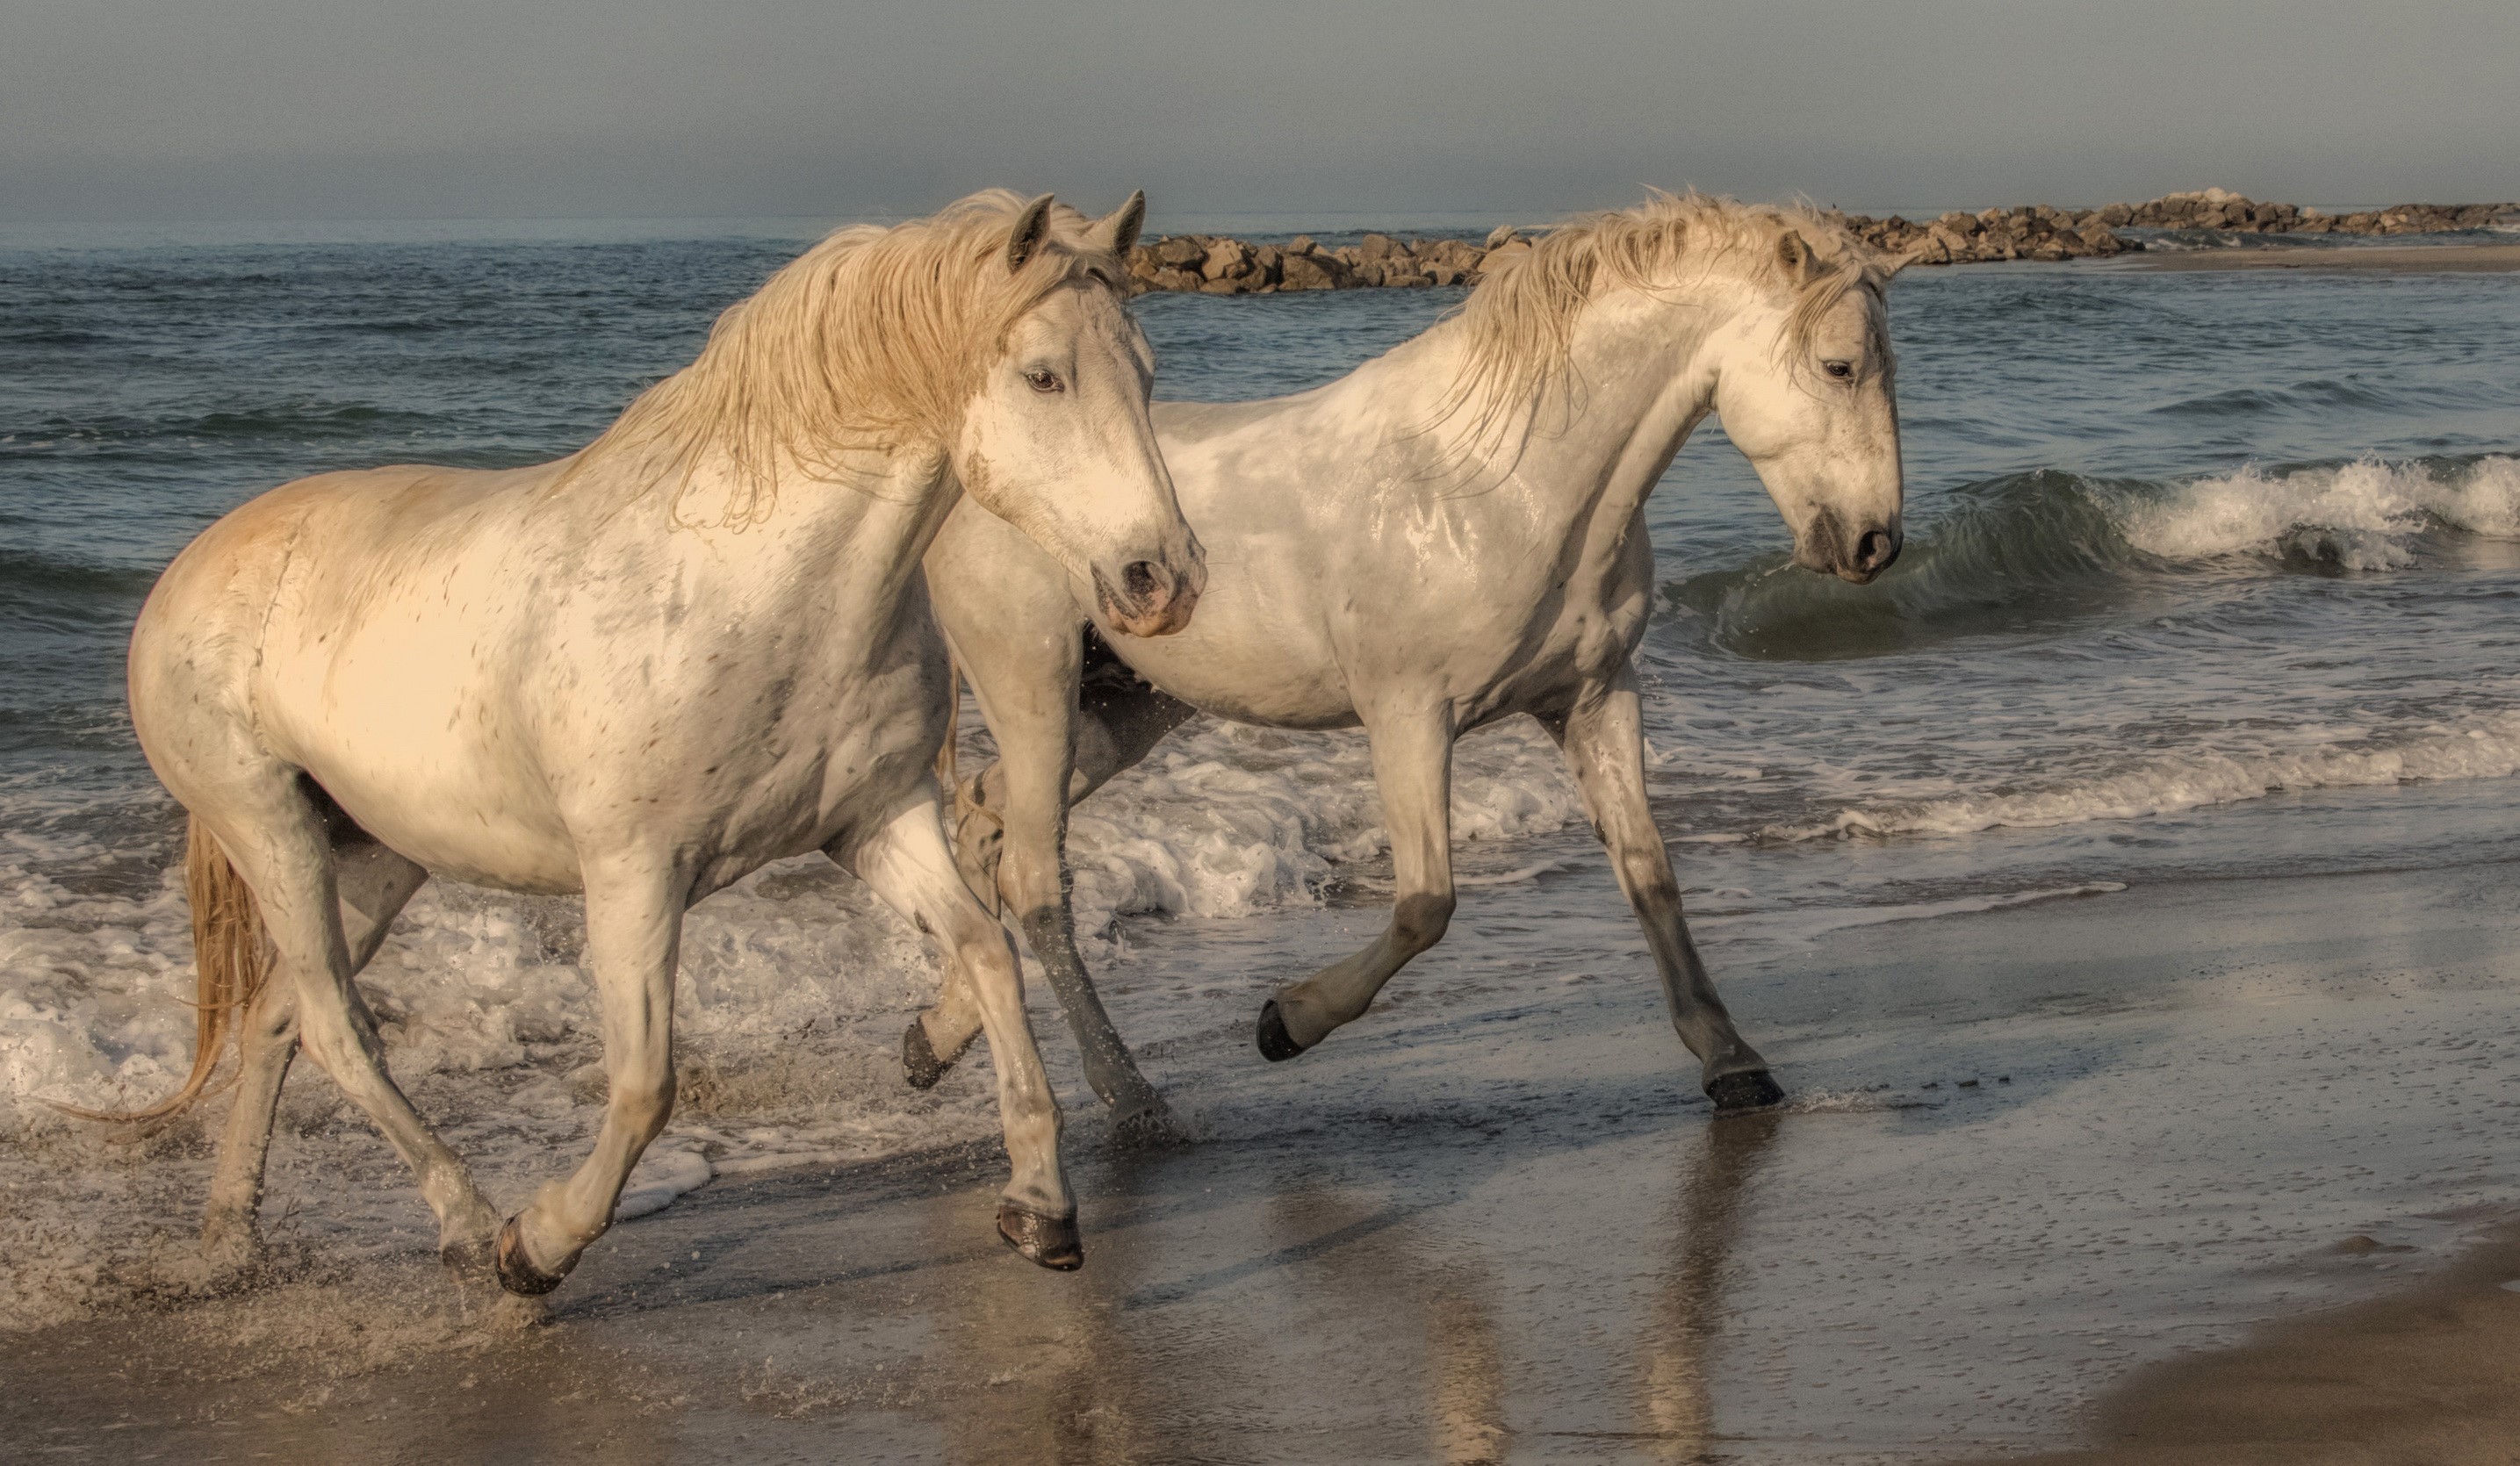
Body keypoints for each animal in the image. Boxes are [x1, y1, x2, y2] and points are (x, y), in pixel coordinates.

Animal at [71, 189, 1206, 1292]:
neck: (750, 593)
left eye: (1146, 371)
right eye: (1043, 375)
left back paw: (231, 1244)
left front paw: (1038, 1202)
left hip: (374, 851)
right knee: (335, 1027)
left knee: (275, 1019)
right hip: (267, 827)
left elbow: (984, 954)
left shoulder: (878, 821)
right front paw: (540, 1244)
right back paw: (469, 1226)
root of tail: (193, 564)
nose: (1163, 578)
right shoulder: (633, 873)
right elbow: (645, 1082)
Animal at [917, 195, 1906, 1133]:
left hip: (1123, 713)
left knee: (988, 826)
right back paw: (1129, 1100)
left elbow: (1649, 871)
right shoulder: (1408, 719)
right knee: (1033, 876)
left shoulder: (1592, 700)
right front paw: (1284, 1022)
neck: (1500, 486)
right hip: (1035, 692)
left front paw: (1732, 1062)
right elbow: (1427, 904)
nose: (1874, 543)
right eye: (1839, 367)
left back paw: (931, 1039)